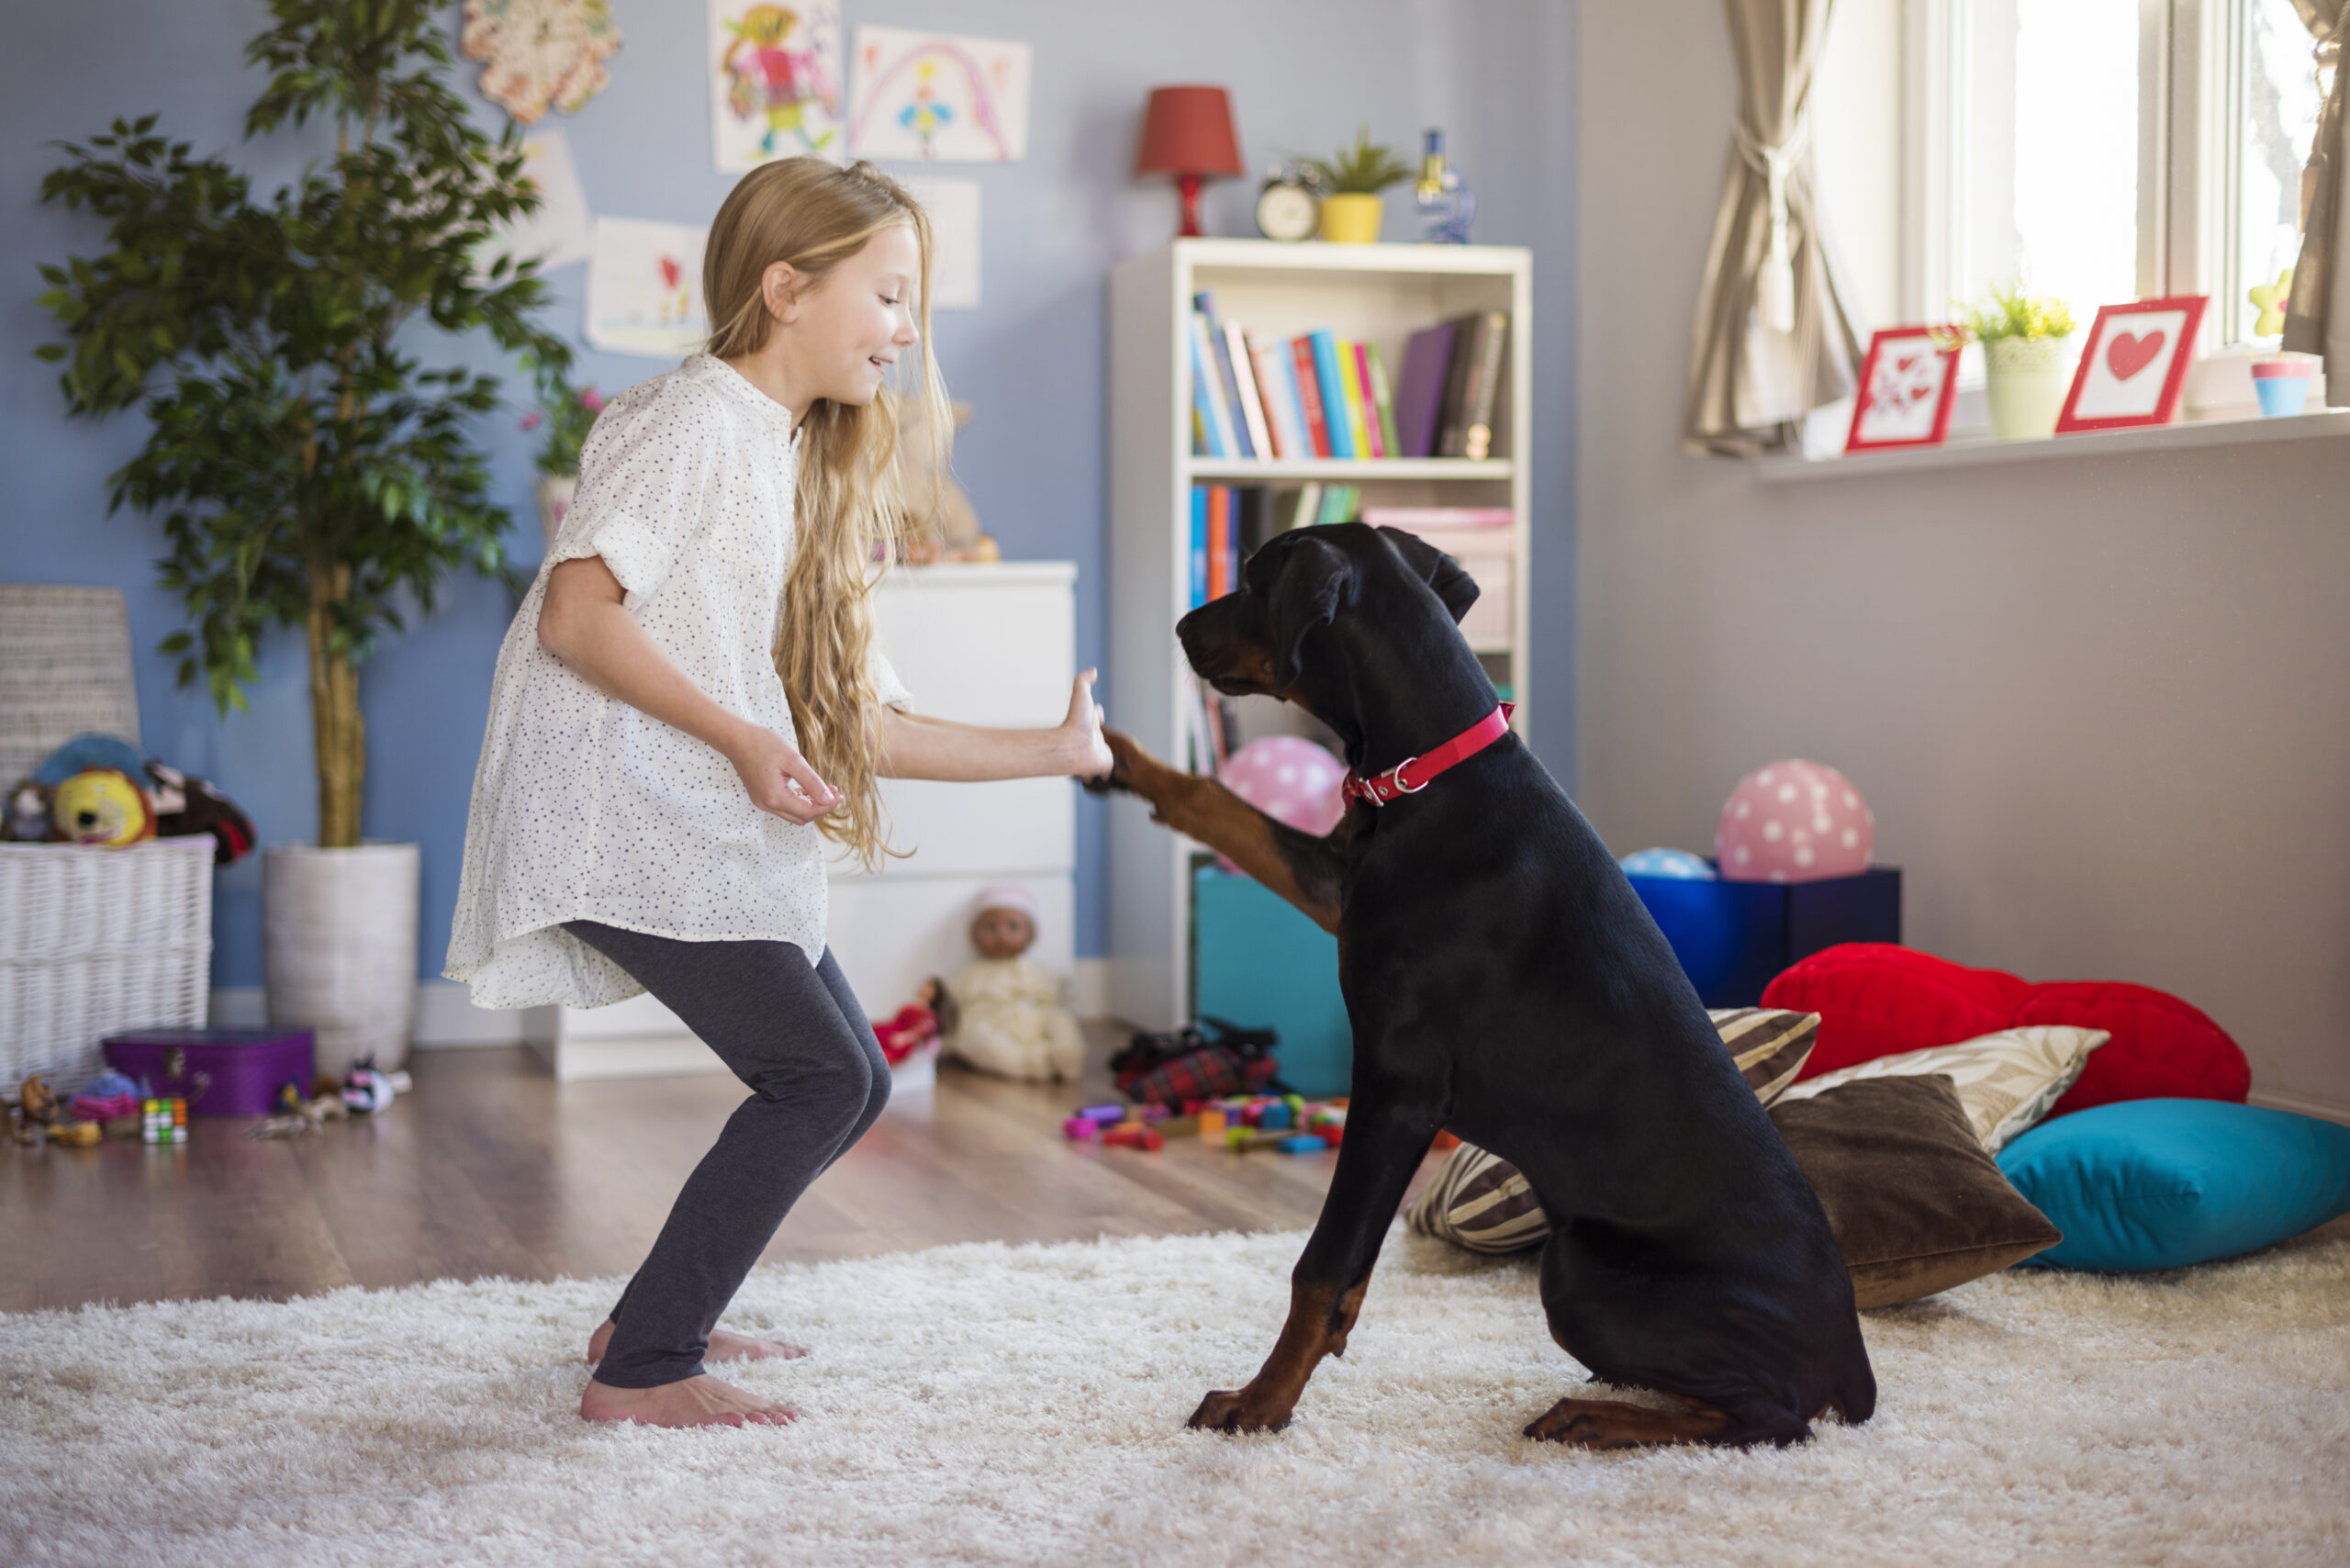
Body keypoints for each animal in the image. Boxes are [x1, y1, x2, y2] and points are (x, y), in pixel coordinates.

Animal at [1094, 524, 1870, 1448]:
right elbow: (1223, 806)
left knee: (1772, 1417)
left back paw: (1595, 1416)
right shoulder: (1336, 888)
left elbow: (1325, 1267)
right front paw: (1119, 760)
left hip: (1578, 1269)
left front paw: (1260, 1405)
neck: (1428, 771)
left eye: (1252, 579)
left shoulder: (1397, 1086)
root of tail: (1852, 1354)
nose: (1181, 628)